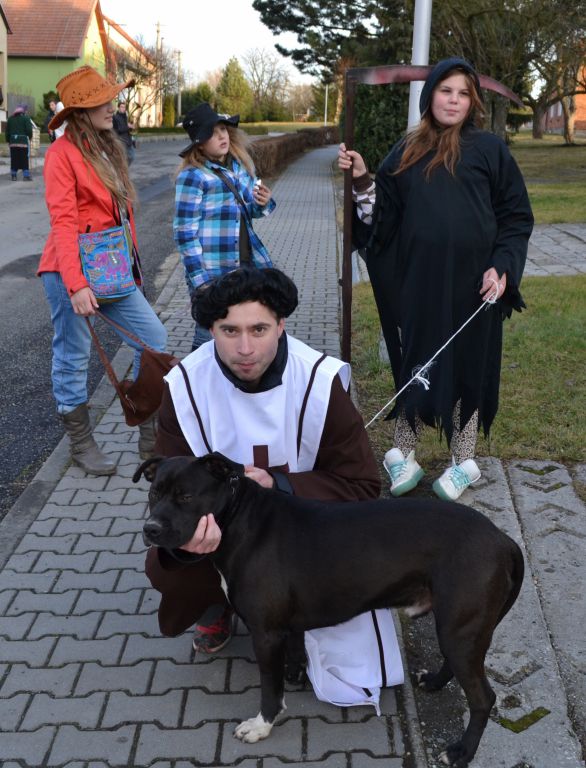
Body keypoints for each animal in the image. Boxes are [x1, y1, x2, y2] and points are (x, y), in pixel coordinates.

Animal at [134, 452, 524, 768]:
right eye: (154, 494)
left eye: (186, 496)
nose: (150, 529)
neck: (238, 515)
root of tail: (502, 539)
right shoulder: (284, 627)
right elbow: (291, 657)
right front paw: (295, 673)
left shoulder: (265, 633)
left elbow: (269, 687)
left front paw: (262, 724)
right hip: (458, 626)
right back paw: (436, 683)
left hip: (459, 627)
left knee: (483, 698)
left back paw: (461, 752)